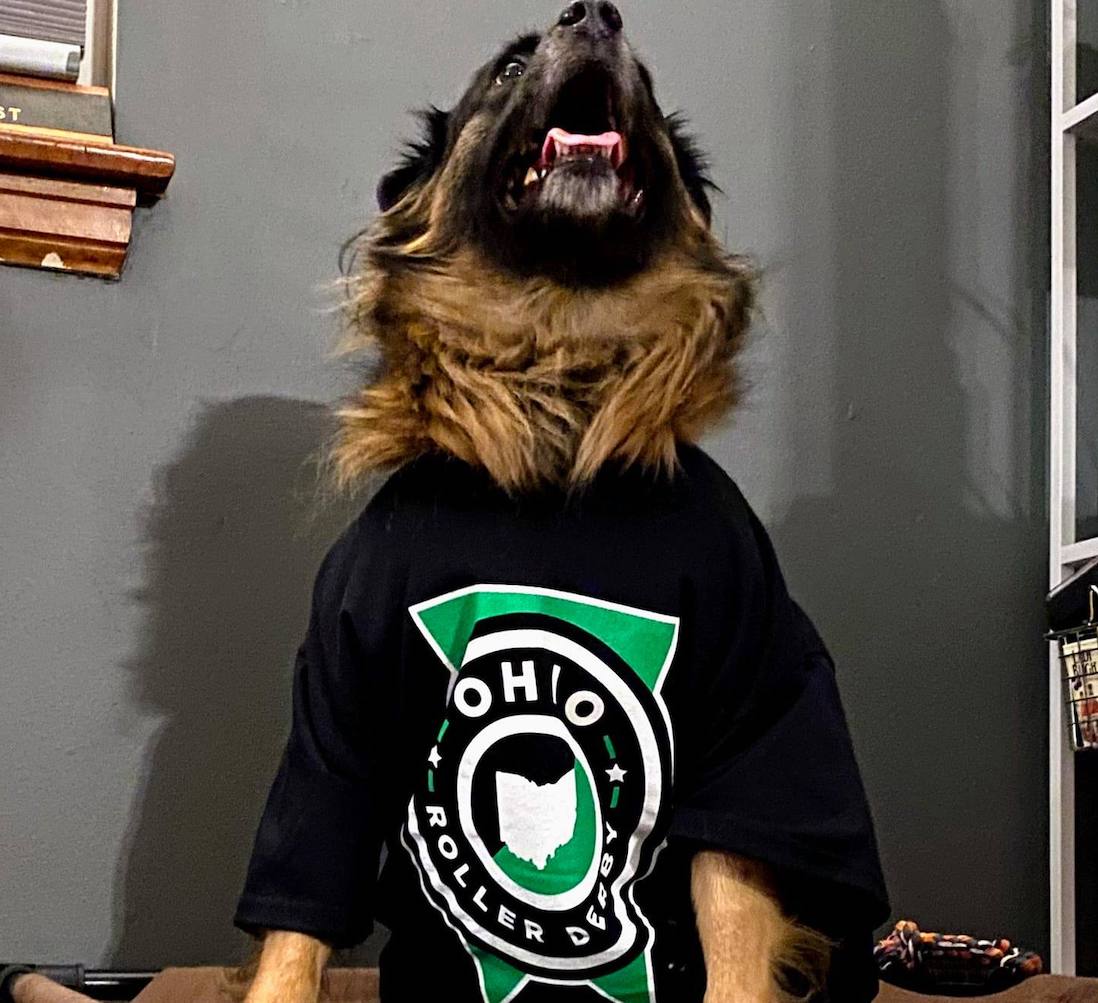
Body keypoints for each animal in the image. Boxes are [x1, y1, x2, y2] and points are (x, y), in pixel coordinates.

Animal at [236, 3, 887, 997]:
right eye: (508, 69)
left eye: (648, 81)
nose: (596, 14)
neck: (559, 369)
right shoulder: (342, 697)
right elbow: (297, 917)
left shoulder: (752, 690)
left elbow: (734, 908)